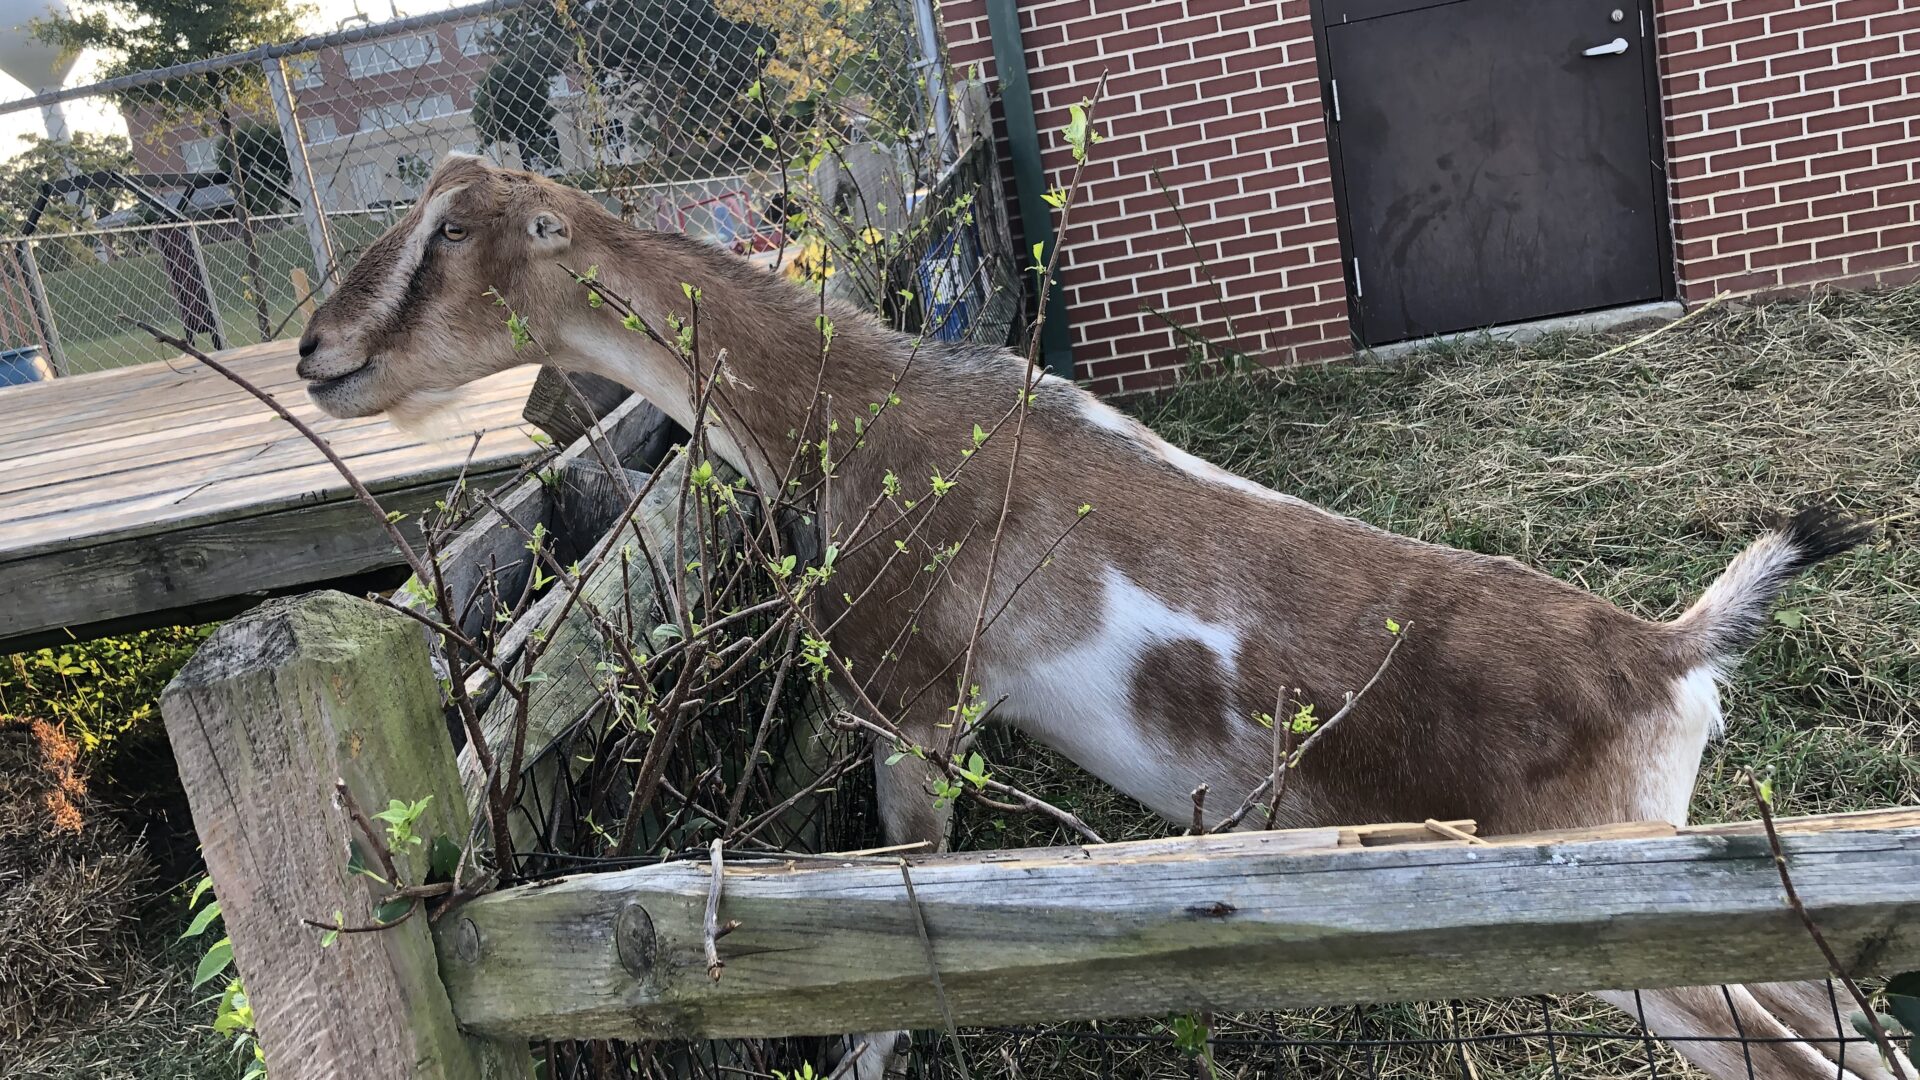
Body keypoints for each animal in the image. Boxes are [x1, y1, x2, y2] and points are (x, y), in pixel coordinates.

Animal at [299, 157, 1889, 1076]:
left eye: (452, 234)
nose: (317, 352)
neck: (856, 410)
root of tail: (1671, 653)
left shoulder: (913, 705)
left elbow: (896, 926)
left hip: (1619, 902)